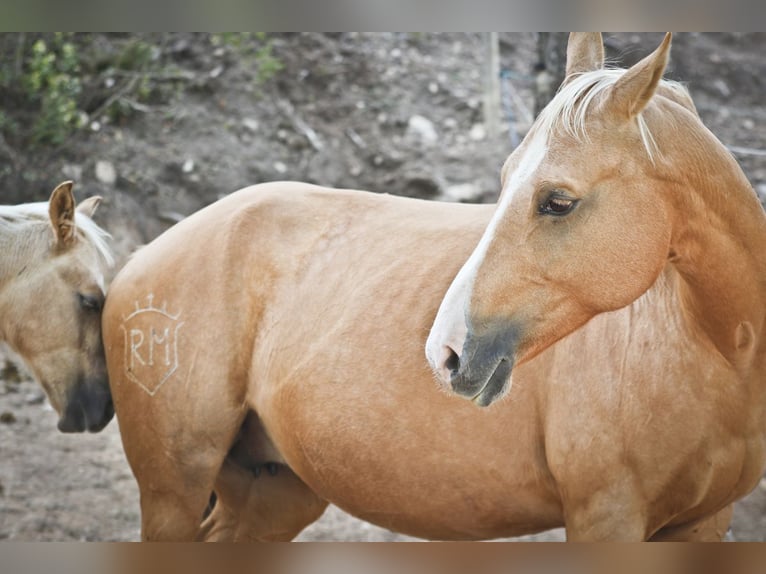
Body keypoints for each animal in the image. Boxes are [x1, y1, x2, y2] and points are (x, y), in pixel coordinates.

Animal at [103, 33, 766, 544]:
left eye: (558, 201)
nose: (444, 351)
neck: (711, 354)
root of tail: (136, 257)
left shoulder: (704, 523)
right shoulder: (607, 520)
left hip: (274, 494)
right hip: (173, 494)